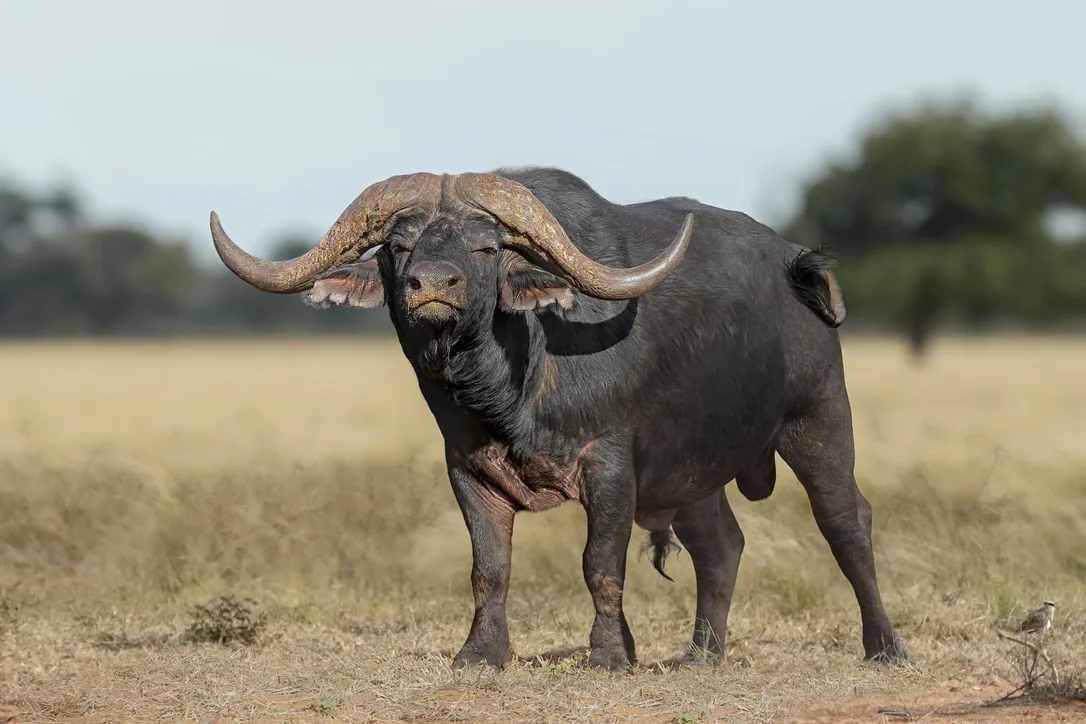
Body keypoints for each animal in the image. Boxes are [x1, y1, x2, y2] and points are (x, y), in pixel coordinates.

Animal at [209, 167, 908, 671]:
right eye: (399, 245)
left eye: (486, 245)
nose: (432, 286)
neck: (510, 386)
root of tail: (797, 268)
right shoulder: (467, 468)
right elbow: (489, 567)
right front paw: (482, 654)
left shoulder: (610, 465)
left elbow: (600, 563)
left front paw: (609, 655)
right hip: (691, 472)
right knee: (721, 545)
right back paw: (701, 656)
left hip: (819, 421)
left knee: (847, 522)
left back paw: (885, 648)